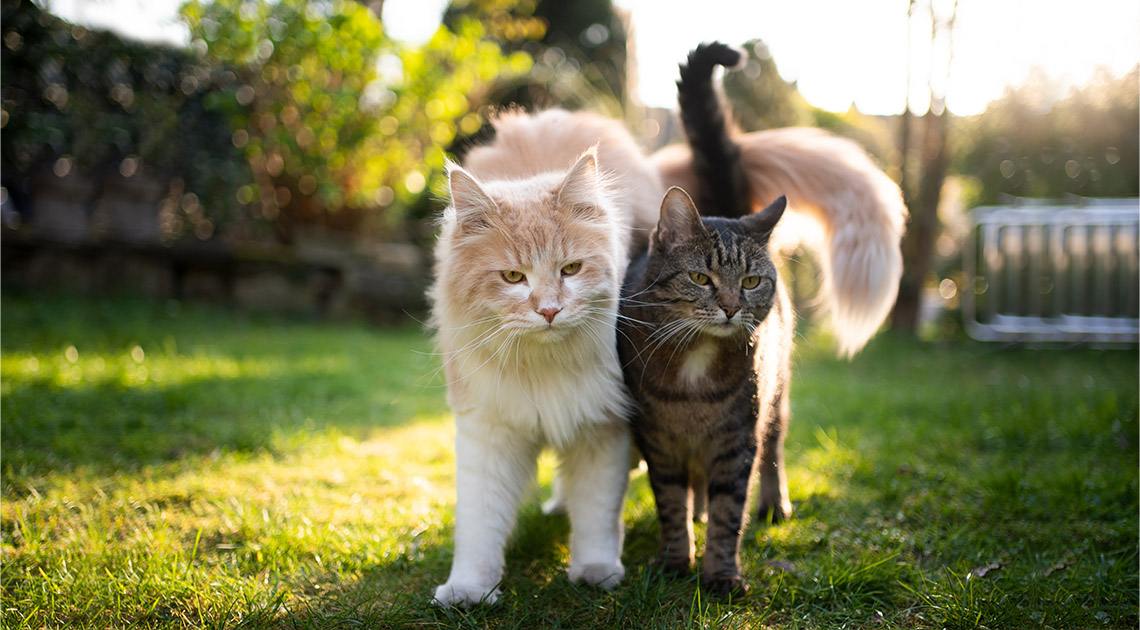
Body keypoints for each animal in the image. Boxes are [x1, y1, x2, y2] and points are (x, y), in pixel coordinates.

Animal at [428, 108, 661, 606]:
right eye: (513, 277)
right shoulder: (488, 431)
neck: (543, 367)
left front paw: (596, 572)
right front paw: (468, 590)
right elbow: (479, 525)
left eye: (570, 269)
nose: (550, 310)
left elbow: (596, 515)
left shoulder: (602, 426)